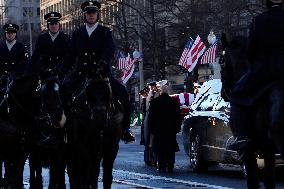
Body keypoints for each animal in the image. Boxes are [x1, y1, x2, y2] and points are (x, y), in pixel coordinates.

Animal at [220, 34, 280, 189]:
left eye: (220, 61)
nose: (223, 93)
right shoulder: (268, 148)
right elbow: (269, 180)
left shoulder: (246, 148)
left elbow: (253, 180)